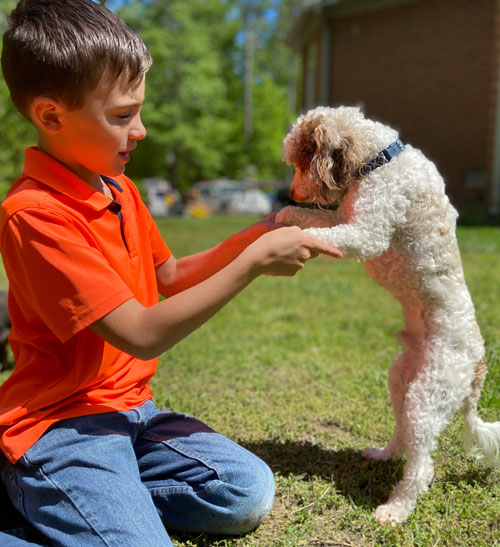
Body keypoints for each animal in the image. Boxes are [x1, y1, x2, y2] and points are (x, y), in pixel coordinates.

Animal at [276, 106, 500, 528]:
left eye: (301, 160)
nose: (292, 193)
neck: (380, 161)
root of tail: (478, 365)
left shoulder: (367, 232)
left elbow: (330, 235)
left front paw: (296, 232)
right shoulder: (348, 216)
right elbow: (319, 221)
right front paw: (286, 214)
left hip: (429, 395)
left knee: (422, 467)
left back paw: (394, 511)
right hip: (402, 381)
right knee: (404, 435)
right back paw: (384, 454)